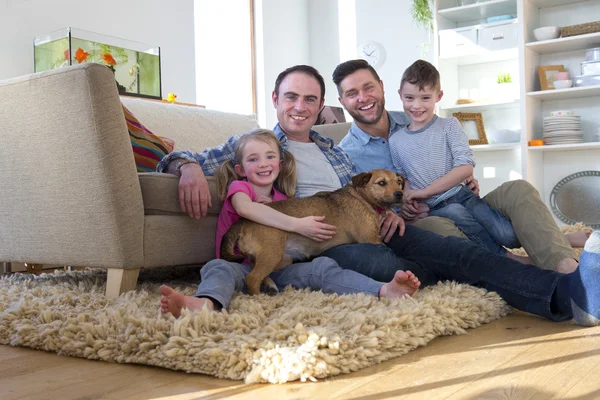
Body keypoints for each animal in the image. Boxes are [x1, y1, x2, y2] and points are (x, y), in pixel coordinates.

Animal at [218, 167, 406, 296]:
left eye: (398, 182)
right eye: (381, 183)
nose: (400, 194)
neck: (363, 198)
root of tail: (242, 221)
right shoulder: (372, 240)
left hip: (280, 259)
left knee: (254, 267)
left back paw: (270, 285)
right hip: (272, 253)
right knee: (252, 278)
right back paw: (259, 298)